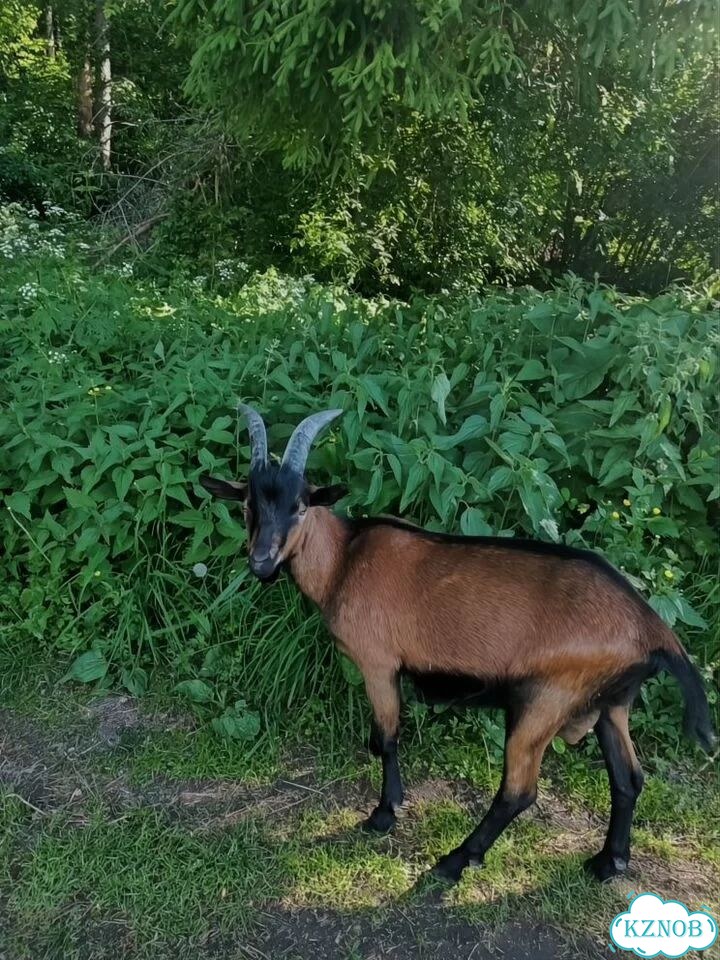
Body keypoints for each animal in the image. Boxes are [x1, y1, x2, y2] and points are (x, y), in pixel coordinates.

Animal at [200, 404, 715, 885]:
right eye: (247, 503)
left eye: (300, 505)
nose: (261, 562)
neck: (344, 559)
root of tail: (653, 628)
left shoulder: (379, 664)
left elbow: (387, 737)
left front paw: (384, 814)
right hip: (612, 702)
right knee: (628, 780)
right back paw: (609, 862)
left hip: (545, 699)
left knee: (519, 791)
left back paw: (455, 861)